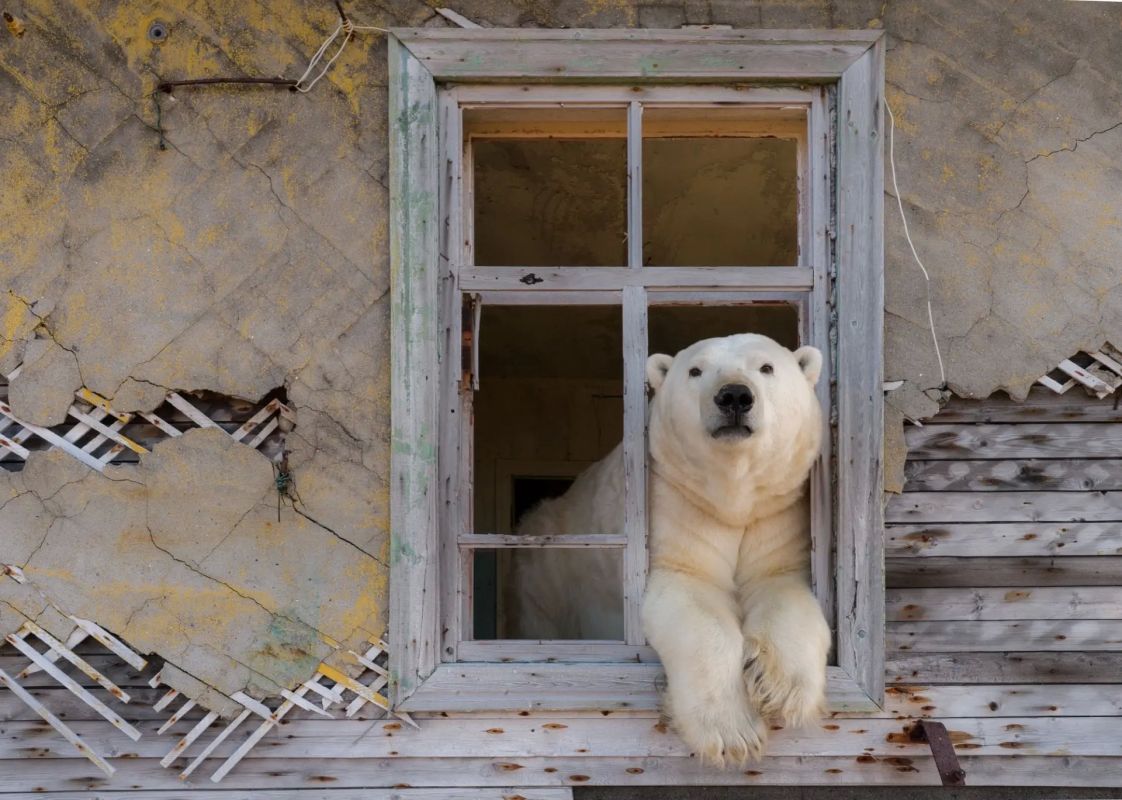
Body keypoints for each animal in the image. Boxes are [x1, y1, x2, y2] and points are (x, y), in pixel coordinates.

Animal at [506, 333, 829, 765]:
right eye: (695, 370)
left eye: (766, 367)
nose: (734, 396)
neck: (731, 498)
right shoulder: (675, 503)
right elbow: (694, 598)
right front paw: (734, 733)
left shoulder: (776, 513)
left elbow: (779, 585)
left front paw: (779, 688)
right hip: (547, 572)